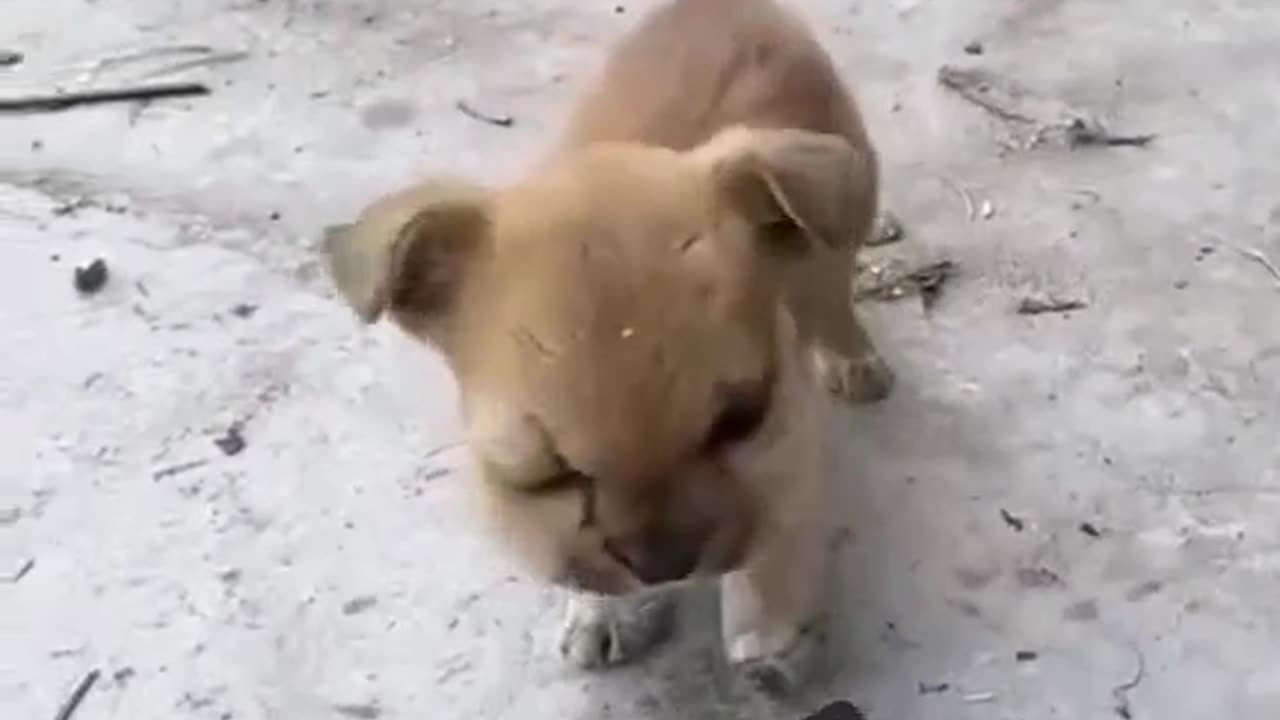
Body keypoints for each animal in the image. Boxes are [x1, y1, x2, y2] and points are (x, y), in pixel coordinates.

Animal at [325, 0, 896, 691]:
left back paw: (854, 359)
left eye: (740, 421)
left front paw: (770, 634)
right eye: (544, 475)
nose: (666, 562)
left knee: (832, 294)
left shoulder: (788, 447)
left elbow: (773, 545)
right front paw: (605, 612)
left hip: (838, 219)